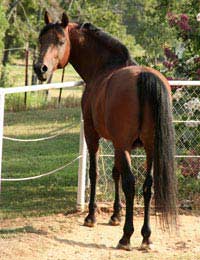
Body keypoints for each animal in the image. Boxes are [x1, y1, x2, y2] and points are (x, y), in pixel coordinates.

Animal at [34, 11, 177, 250]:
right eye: (40, 40)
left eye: (61, 41)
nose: (40, 69)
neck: (104, 67)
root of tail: (144, 78)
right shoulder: (117, 143)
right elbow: (115, 172)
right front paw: (115, 215)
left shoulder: (94, 135)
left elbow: (95, 173)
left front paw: (91, 217)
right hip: (150, 147)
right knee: (147, 186)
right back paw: (146, 237)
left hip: (124, 145)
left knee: (131, 184)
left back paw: (126, 237)